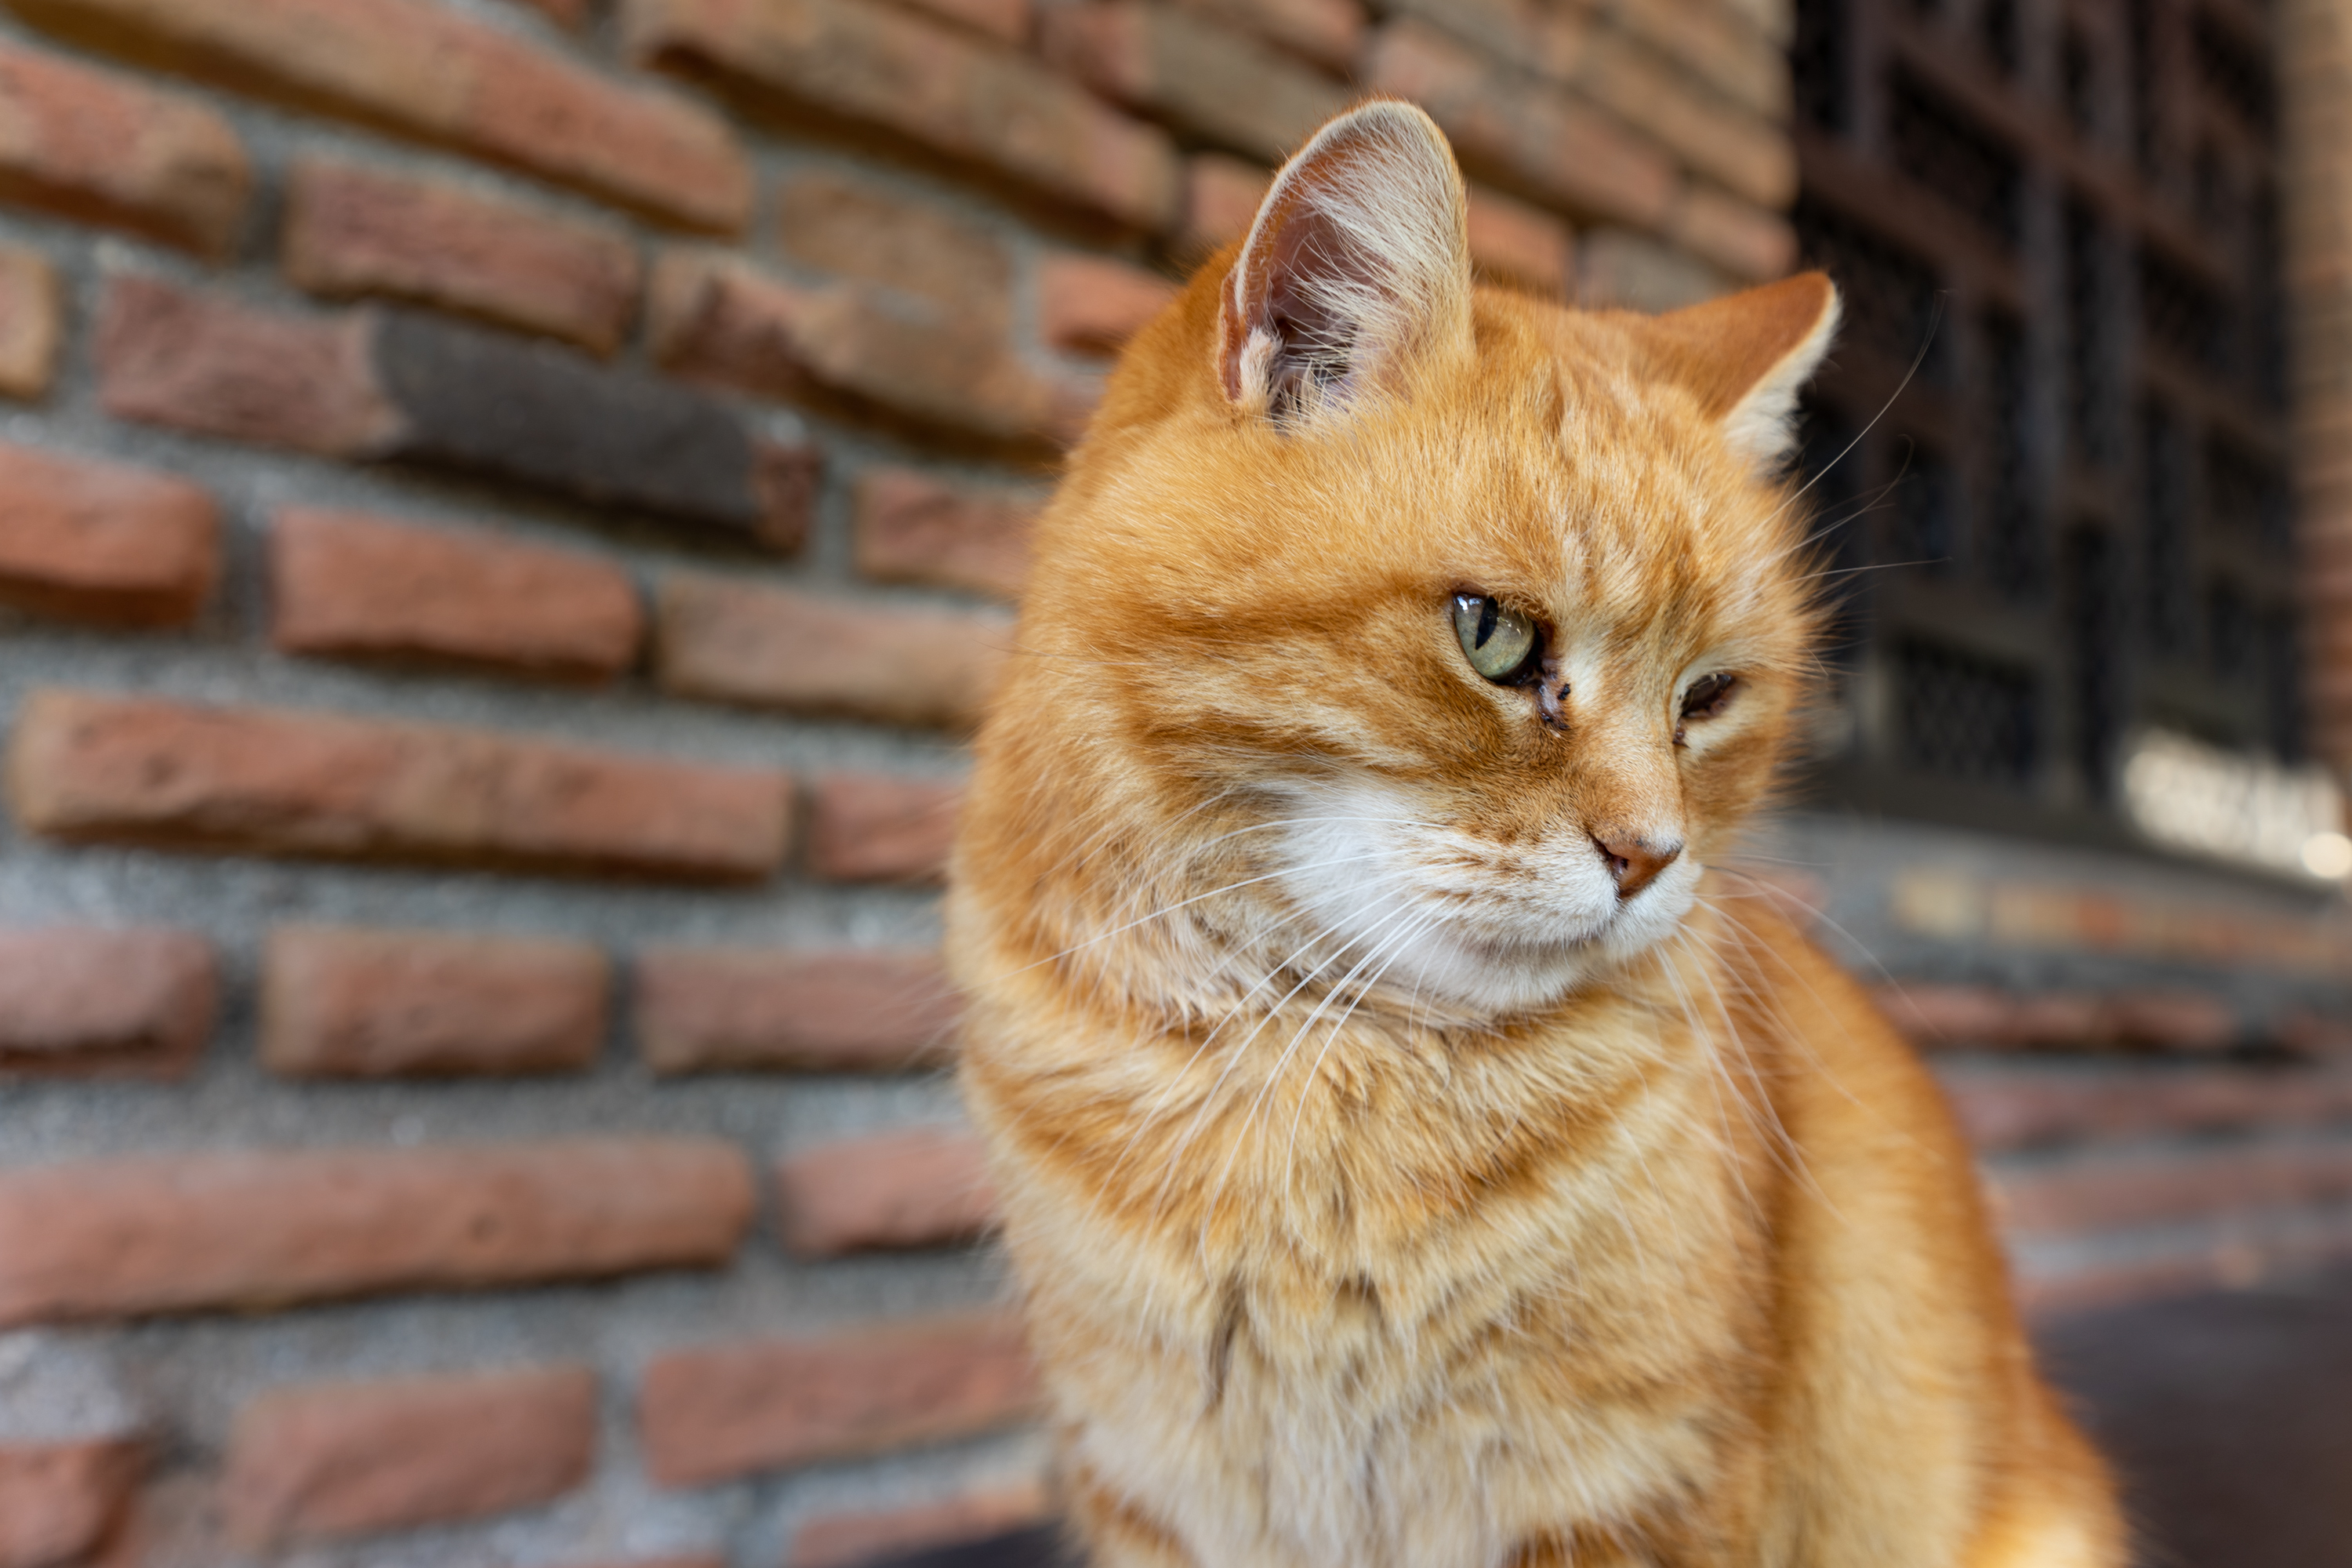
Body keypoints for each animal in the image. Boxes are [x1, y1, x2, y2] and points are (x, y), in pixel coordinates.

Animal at [941, 100, 2136, 1568]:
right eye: (1494, 636)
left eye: (1707, 698)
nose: (1651, 857)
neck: (1320, 1067)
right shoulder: (1154, 1495)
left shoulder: (1631, 1499)